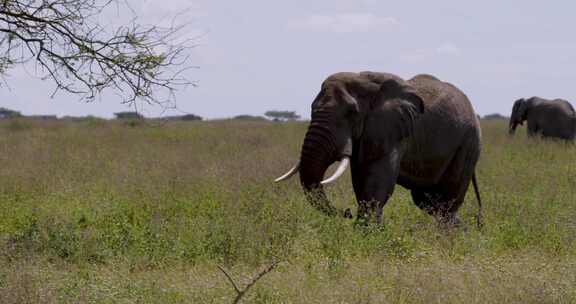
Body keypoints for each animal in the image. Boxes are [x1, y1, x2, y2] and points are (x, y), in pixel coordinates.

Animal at [274, 72, 482, 227]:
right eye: (311, 108)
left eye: (352, 112)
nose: (346, 212)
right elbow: (361, 179)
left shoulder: (391, 130)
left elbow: (377, 179)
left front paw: (368, 234)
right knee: (427, 200)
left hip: (468, 143)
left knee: (447, 200)